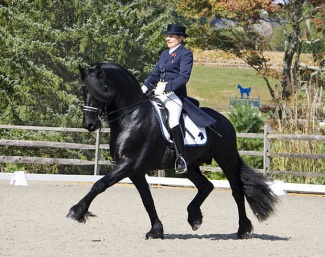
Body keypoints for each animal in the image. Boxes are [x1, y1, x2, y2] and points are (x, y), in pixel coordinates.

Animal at [66, 62, 278, 238]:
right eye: (84, 88)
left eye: (102, 88)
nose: (89, 124)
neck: (132, 116)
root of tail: (224, 120)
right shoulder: (135, 170)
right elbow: (147, 199)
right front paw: (156, 230)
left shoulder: (129, 164)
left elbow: (100, 184)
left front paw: (77, 211)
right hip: (189, 166)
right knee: (206, 186)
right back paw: (194, 218)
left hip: (226, 159)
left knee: (237, 190)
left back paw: (242, 229)